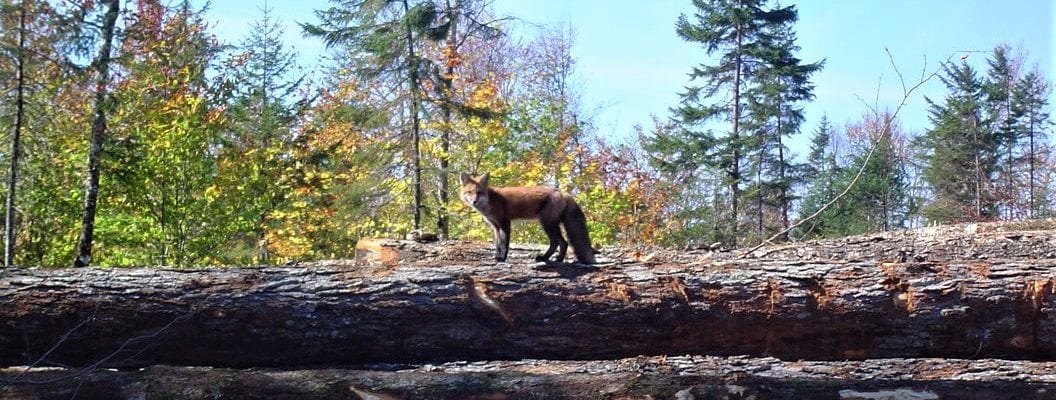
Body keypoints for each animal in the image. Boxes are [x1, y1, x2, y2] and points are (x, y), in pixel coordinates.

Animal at [460, 173, 599, 264]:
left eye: (479, 192)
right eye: (469, 192)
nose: (474, 201)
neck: (490, 201)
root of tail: (563, 192)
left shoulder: (505, 223)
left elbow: (504, 244)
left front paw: (502, 259)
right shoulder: (495, 226)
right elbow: (497, 245)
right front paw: (496, 257)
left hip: (547, 224)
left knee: (560, 242)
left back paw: (549, 259)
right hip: (551, 224)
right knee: (562, 243)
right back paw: (554, 259)